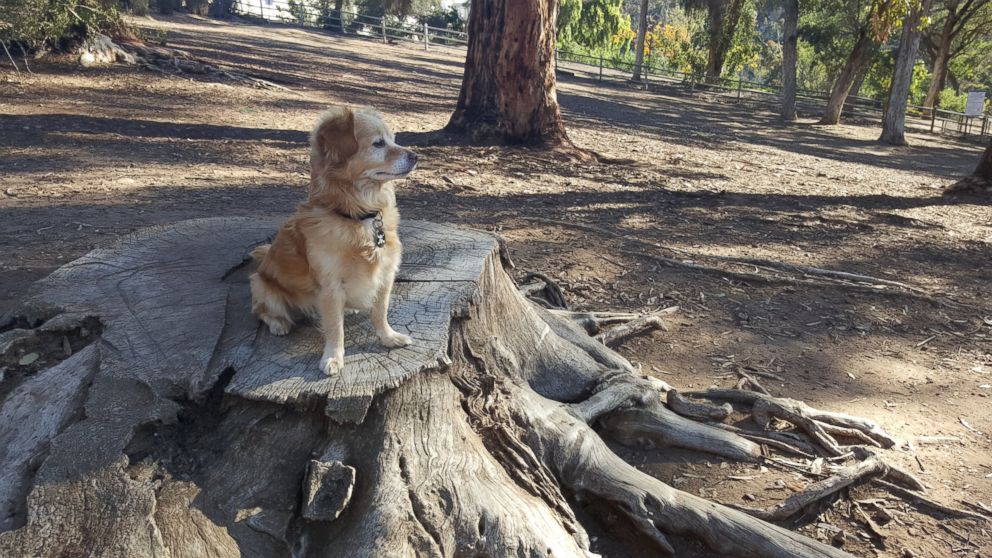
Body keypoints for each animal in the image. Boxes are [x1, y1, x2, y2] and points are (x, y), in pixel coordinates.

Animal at [252, 106, 418, 376]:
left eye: (393, 139)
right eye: (379, 143)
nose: (415, 156)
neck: (358, 216)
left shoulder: (385, 274)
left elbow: (380, 312)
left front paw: (388, 337)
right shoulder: (330, 288)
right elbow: (334, 327)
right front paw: (333, 357)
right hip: (261, 286)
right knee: (262, 311)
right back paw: (278, 324)